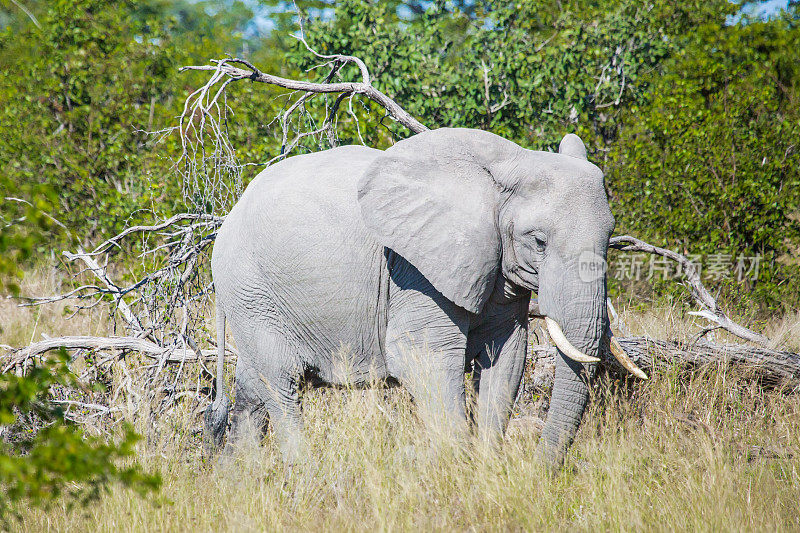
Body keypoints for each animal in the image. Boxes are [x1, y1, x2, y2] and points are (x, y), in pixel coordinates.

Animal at [206, 125, 644, 466]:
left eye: (610, 236)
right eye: (538, 241)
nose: (541, 471)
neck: (507, 166)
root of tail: (229, 217)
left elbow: (505, 356)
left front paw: (489, 469)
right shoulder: (415, 269)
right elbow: (424, 355)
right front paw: (457, 475)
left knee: (252, 389)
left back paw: (238, 482)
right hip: (250, 289)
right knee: (281, 382)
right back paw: (305, 476)